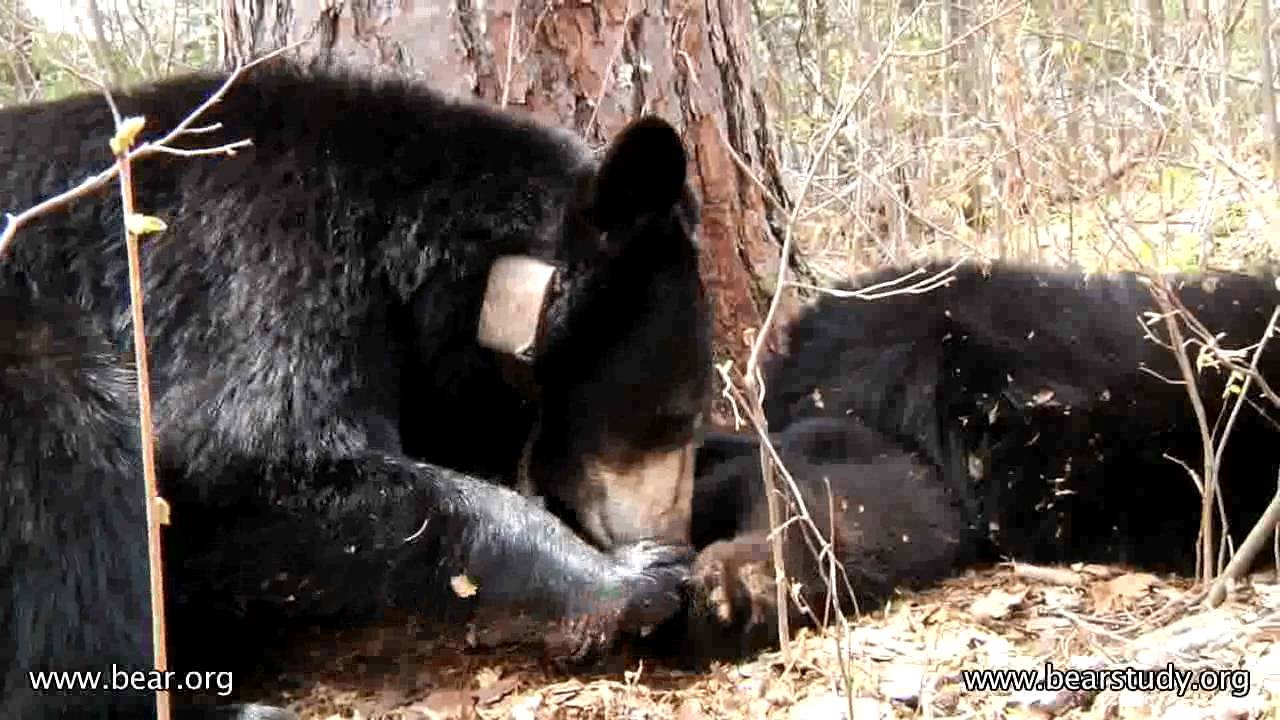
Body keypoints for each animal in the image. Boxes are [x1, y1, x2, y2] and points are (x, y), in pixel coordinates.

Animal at [0, 62, 710, 719]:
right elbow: (247, 455)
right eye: (674, 418)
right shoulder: (259, 261)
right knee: (72, 452)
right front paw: (637, 578)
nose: (676, 534)